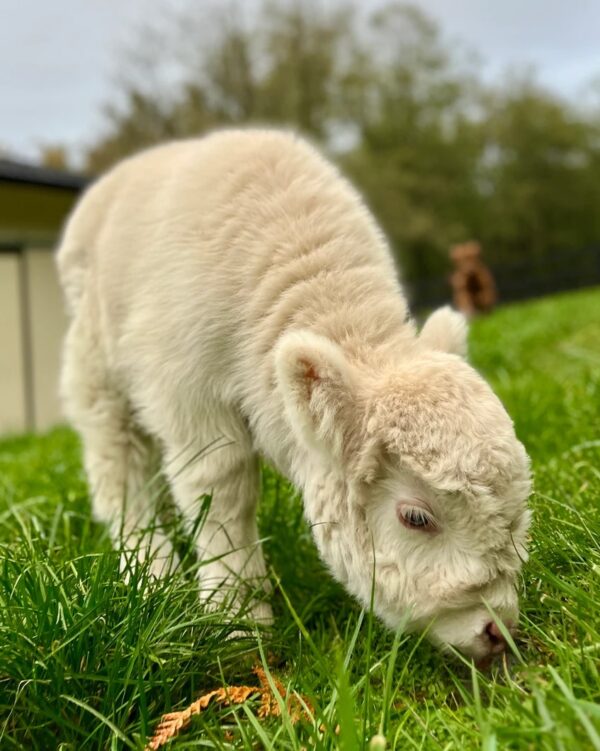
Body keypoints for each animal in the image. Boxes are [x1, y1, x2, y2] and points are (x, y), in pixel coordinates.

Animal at [58, 131, 532, 664]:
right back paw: (151, 575)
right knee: (119, 466)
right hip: (95, 362)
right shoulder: (187, 391)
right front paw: (238, 622)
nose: (497, 630)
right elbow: (222, 489)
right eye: (415, 518)